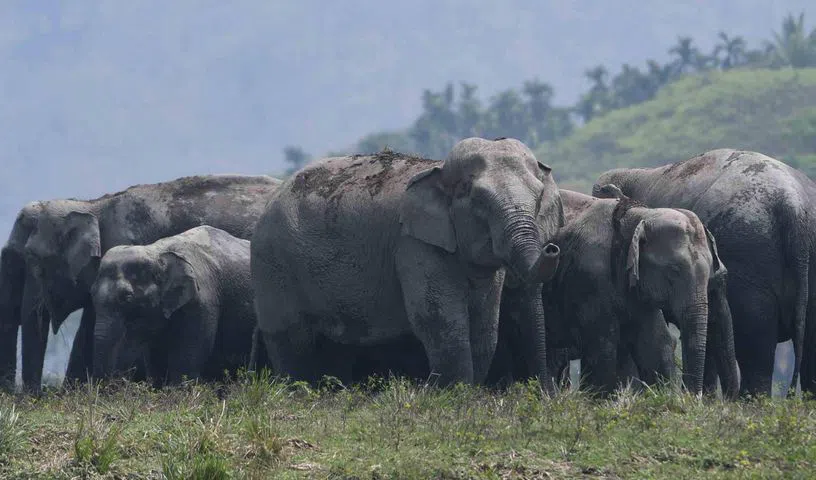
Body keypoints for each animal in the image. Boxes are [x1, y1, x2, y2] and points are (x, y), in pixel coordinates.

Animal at [91, 226, 265, 386]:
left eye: (127, 297)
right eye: (92, 292)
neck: (157, 252)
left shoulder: (202, 302)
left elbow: (186, 360)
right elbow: (155, 359)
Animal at [251, 138, 563, 388]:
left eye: (538, 198)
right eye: (479, 201)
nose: (552, 248)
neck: (437, 170)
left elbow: (485, 327)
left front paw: (468, 393)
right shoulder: (413, 245)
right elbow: (438, 320)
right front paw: (455, 396)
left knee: (334, 348)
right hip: (274, 266)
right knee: (292, 341)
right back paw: (299, 392)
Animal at [491, 190, 738, 398]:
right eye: (673, 271)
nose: (691, 396)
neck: (636, 216)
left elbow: (654, 345)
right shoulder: (589, 280)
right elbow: (604, 348)